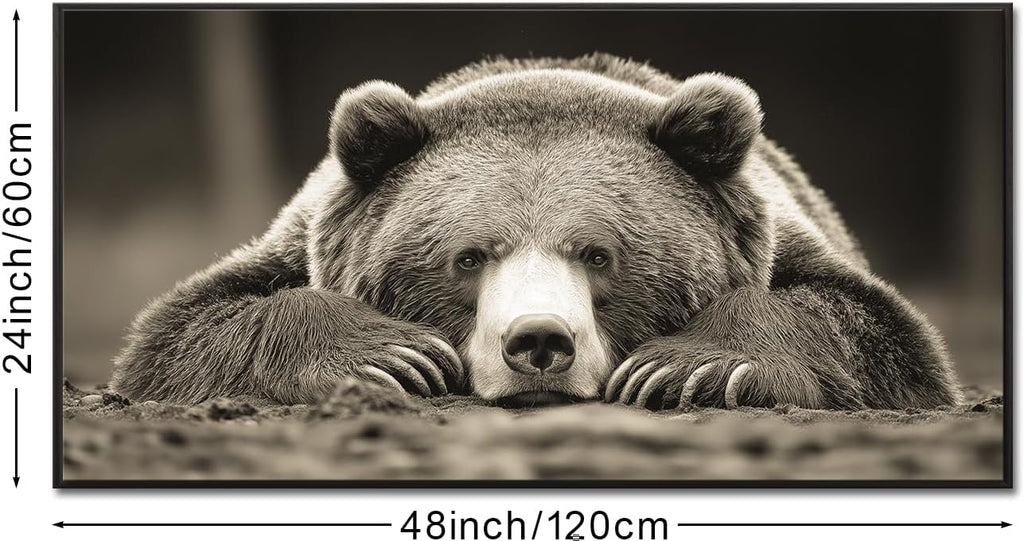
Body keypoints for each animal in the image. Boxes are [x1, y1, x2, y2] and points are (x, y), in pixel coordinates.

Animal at [109, 53, 962, 410]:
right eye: (468, 255)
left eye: (598, 252)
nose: (540, 340)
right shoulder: (296, 243)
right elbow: (187, 327)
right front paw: (393, 357)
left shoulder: (786, 242)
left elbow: (875, 327)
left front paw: (689, 367)